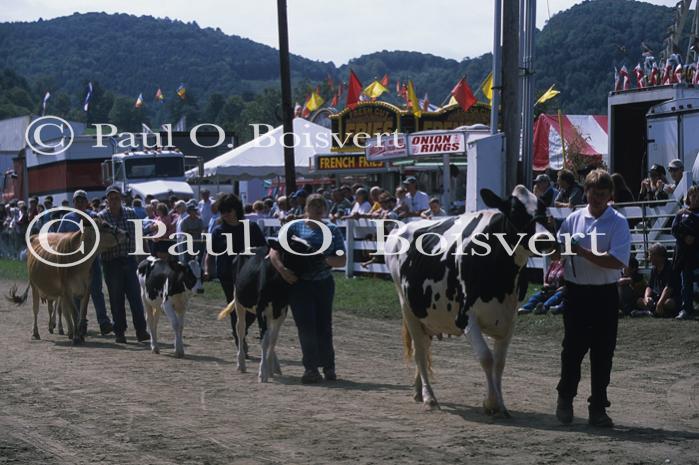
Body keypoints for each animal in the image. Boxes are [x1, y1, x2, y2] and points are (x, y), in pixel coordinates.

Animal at [217, 236, 324, 380]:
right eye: (296, 246)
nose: (322, 257)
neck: (278, 286)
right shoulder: (261, 310)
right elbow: (264, 340)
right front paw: (263, 372)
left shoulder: (282, 310)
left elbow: (273, 339)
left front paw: (269, 367)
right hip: (239, 301)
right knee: (240, 329)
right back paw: (241, 363)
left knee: (267, 334)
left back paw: (275, 366)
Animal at [386, 185, 556, 414]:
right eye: (514, 210)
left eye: (544, 207)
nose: (544, 238)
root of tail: (402, 227)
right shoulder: (466, 317)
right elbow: (486, 357)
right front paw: (491, 402)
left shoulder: (510, 318)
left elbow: (500, 362)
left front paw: (500, 403)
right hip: (408, 306)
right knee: (420, 352)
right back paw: (430, 397)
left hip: (427, 312)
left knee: (424, 345)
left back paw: (418, 391)